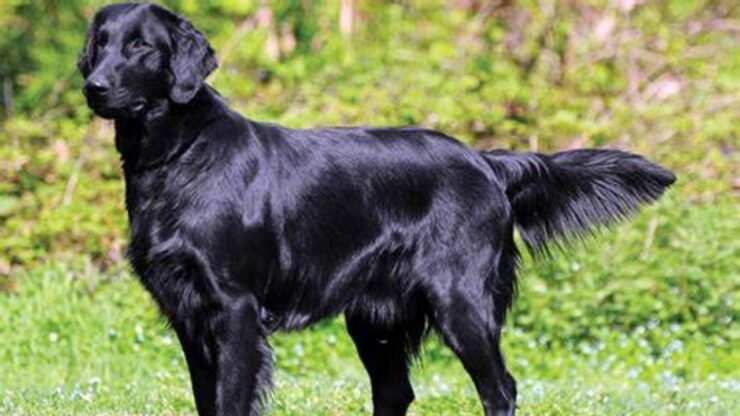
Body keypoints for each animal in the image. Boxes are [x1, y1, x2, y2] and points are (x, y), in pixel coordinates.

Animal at [79, 4, 676, 416]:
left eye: (140, 46)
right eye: (99, 44)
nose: (93, 86)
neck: (177, 156)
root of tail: (484, 161)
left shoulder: (234, 309)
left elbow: (231, 401)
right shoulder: (188, 315)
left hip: (460, 299)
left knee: (499, 388)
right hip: (376, 318)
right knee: (396, 393)